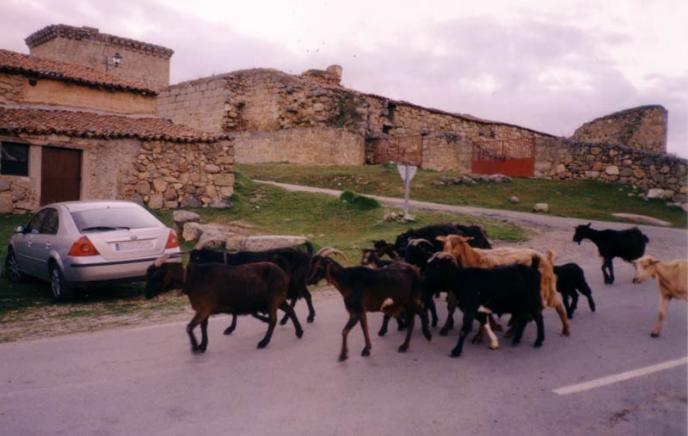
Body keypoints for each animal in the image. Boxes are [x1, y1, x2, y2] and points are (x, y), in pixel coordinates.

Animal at [145, 257, 303, 352]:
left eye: (155, 275)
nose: (146, 295)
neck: (190, 279)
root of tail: (283, 273)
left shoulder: (203, 308)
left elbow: (189, 327)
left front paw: (195, 347)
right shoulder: (204, 309)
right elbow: (203, 326)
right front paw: (202, 346)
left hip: (273, 299)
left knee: (274, 320)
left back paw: (263, 342)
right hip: (278, 299)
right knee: (290, 310)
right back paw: (299, 332)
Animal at [438, 234, 570, 336]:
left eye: (457, 244)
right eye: (444, 244)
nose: (446, 257)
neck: (475, 258)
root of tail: (546, 258)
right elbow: (451, 307)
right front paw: (445, 328)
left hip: (543, 288)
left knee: (556, 305)